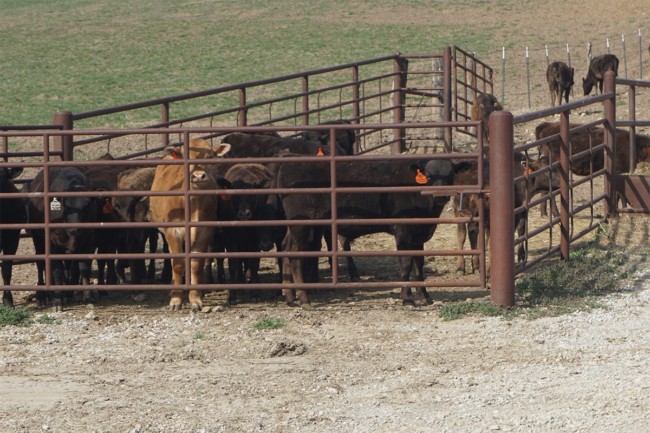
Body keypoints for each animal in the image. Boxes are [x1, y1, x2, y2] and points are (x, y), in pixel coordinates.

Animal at [151, 138, 232, 310]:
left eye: (210, 156)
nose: (199, 176)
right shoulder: (173, 231)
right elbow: (178, 264)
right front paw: (176, 299)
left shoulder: (206, 231)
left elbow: (195, 264)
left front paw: (195, 299)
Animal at [270, 157, 468, 308]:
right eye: (428, 176)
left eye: (451, 175)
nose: (441, 195)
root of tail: (288, 162)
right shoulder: (402, 229)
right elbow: (405, 263)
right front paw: (407, 298)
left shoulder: (418, 233)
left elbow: (419, 262)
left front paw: (424, 294)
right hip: (302, 225)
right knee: (295, 257)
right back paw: (304, 298)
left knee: (286, 250)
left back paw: (290, 297)